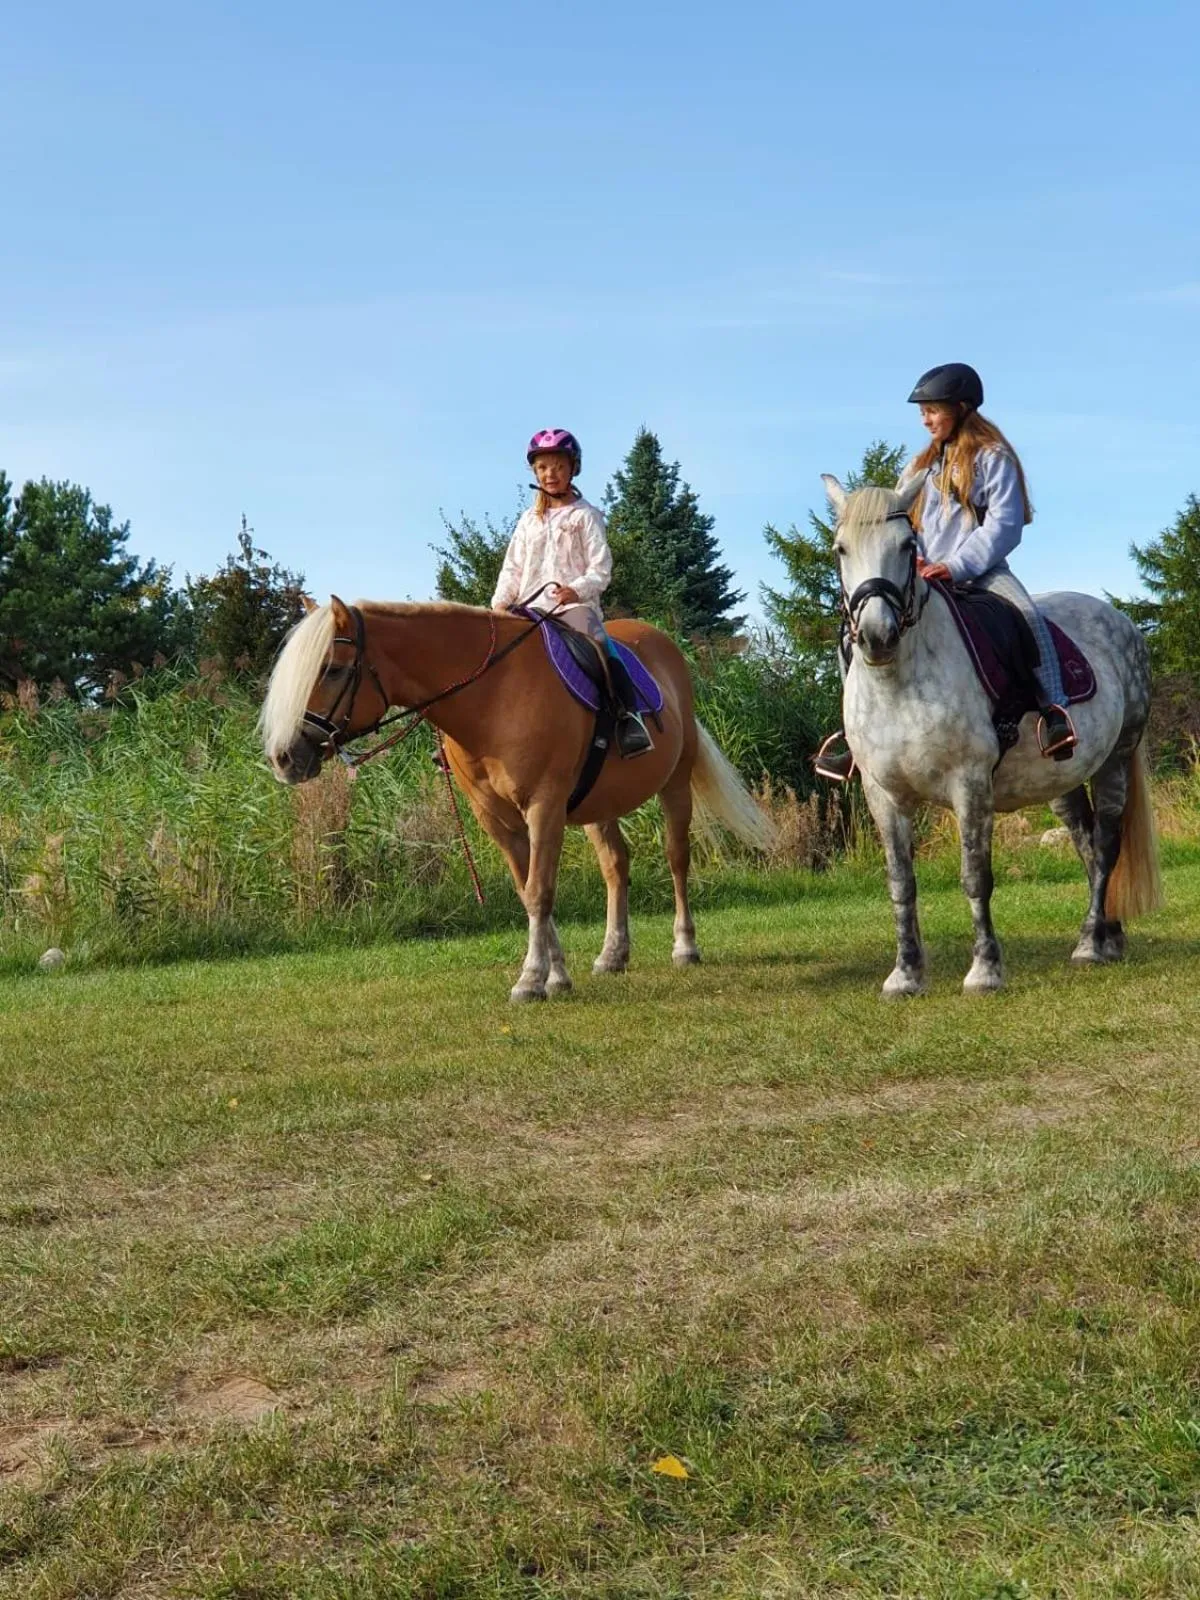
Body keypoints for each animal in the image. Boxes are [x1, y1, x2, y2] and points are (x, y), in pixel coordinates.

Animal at [260, 597, 775, 1001]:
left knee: (677, 858)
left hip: (675, 783)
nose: (285, 757)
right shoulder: (496, 819)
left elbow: (540, 891)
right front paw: (556, 975)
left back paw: (685, 946)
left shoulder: (543, 807)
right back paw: (613, 954)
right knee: (615, 865)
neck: (491, 698)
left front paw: (531, 979)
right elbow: (528, 890)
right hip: (597, 805)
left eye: (333, 669)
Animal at [823, 473, 1162, 997]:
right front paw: (905, 974)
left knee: (1106, 844)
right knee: (1085, 842)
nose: (878, 636)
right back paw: (1108, 935)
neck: (899, 681)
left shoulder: (970, 785)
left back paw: (1090, 943)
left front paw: (985, 970)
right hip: (1060, 780)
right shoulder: (884, 795)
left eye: (907, 546)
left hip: (1116, 760)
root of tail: (1124, 624)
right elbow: (901, 883)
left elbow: (975, 877)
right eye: (841, 548)